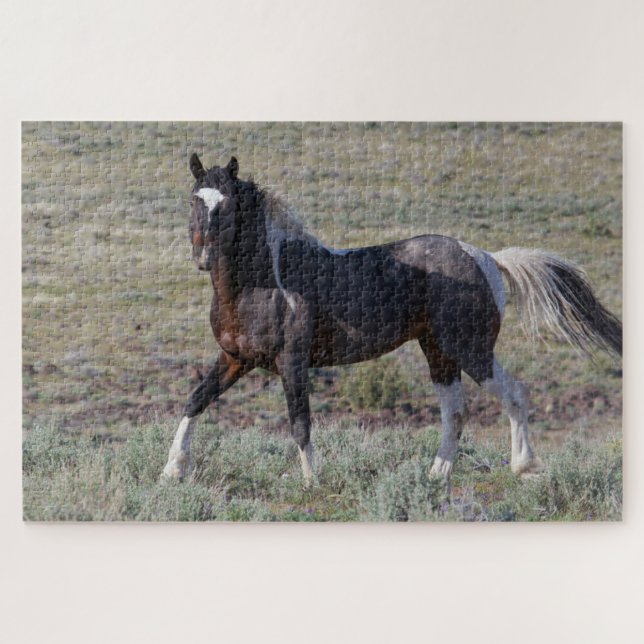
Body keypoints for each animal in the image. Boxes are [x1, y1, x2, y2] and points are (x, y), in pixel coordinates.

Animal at [162, 154, 622, 485]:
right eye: (193, 199)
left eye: (228, 204)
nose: (203, 256)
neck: (265, 282)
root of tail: (487, 258)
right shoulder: (235, 358)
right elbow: (195, 400)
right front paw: (172, 470)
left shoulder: (292, 363)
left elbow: (300, 422)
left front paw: (312, 482)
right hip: (439, 352)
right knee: (455, 412)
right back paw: (436, 475)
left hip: (469, 348)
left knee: (514, 394)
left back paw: (523, 467)